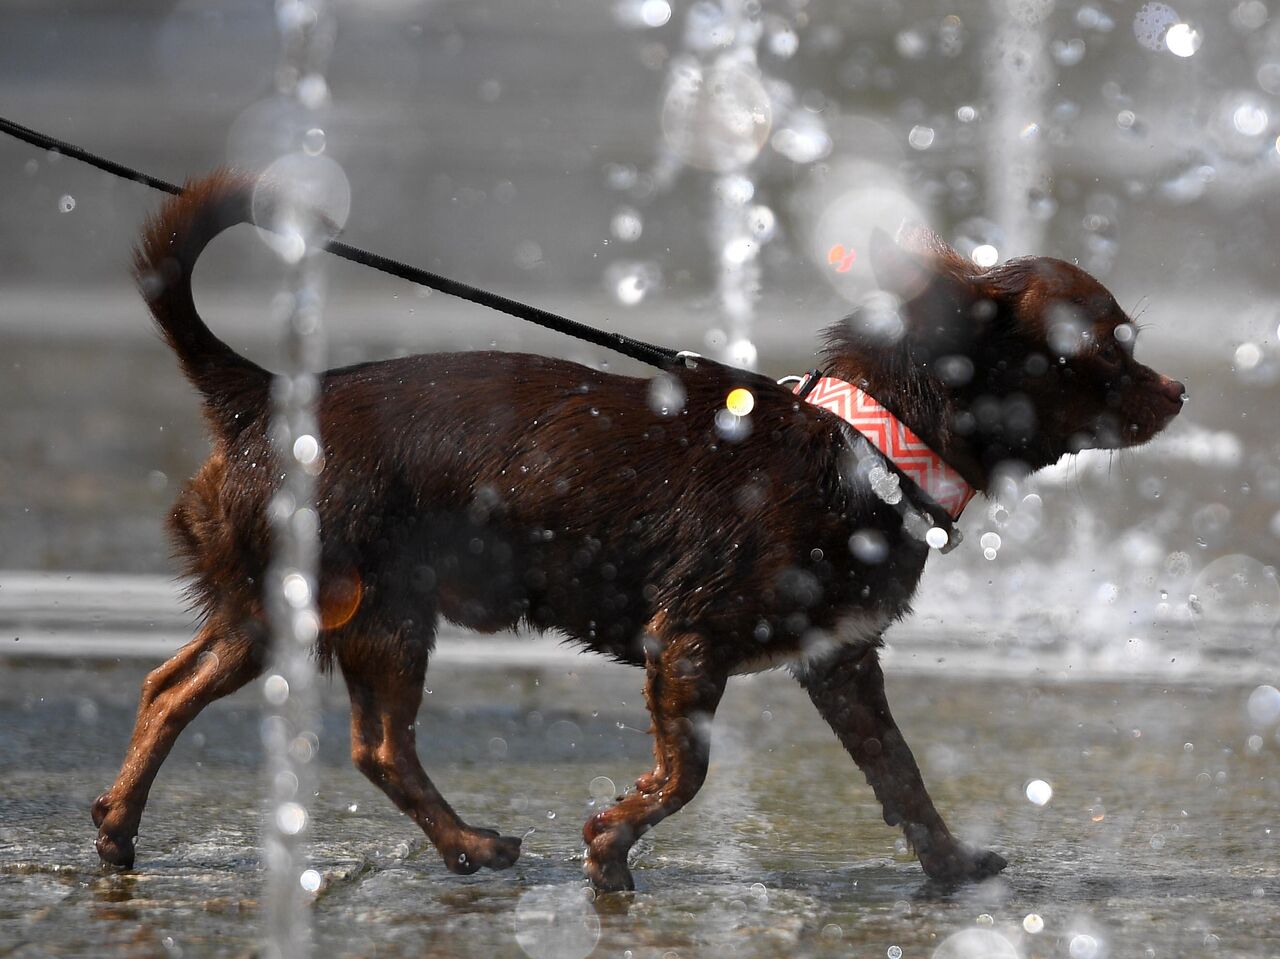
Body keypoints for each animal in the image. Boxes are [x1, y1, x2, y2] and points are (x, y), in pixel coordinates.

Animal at [94, 171, 1182, 891]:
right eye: (1110, 348)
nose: (1176, 388)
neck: (866, 441)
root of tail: (259, 395)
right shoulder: (686, 644)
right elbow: (687, 771)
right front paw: (612, 842)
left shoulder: (838, 658)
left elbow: (899, 773)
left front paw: (951, 865)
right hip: (336, 604)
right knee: (294, 720)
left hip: (330, 612)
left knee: (250, 708)